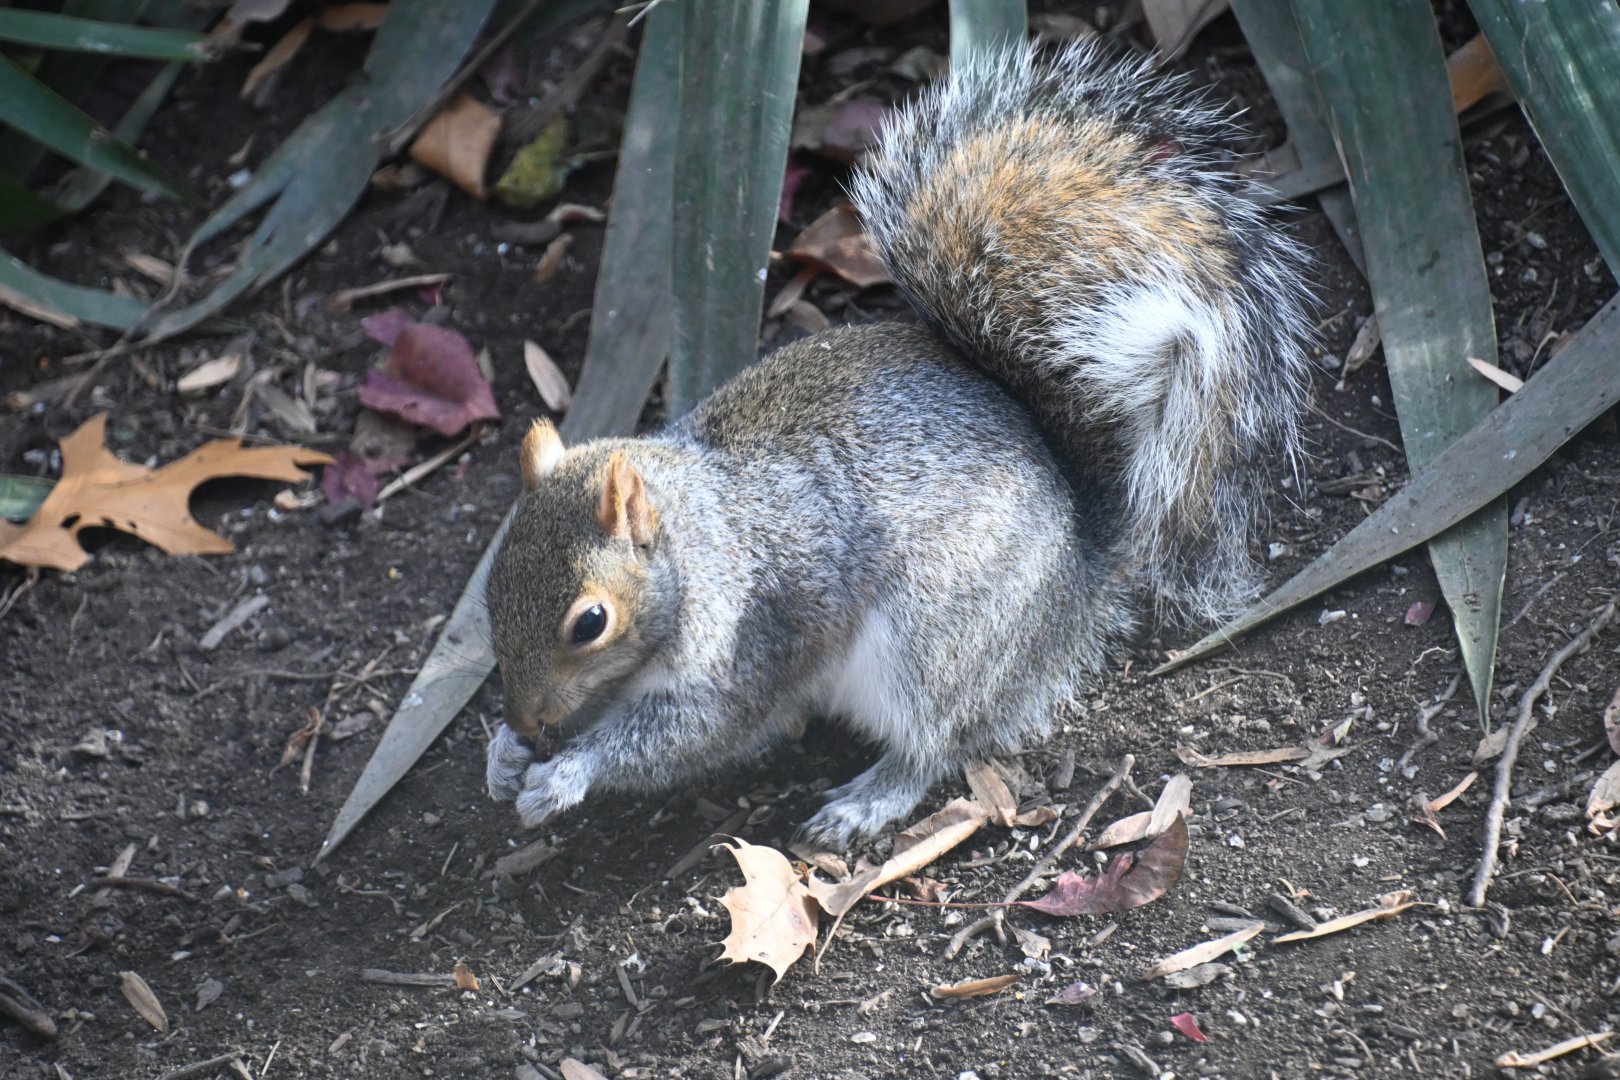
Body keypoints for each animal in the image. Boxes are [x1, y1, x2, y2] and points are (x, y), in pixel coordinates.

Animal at [483, 41, 1313, 850]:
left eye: (590, 623)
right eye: (490, 591)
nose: (527, 718)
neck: (697, 545)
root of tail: (1075, 581)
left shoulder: (746, 649)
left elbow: (690, 734)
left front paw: (566, 774)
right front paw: (503, 755)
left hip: (934, 639)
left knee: (937, 742)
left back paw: (869, 800)